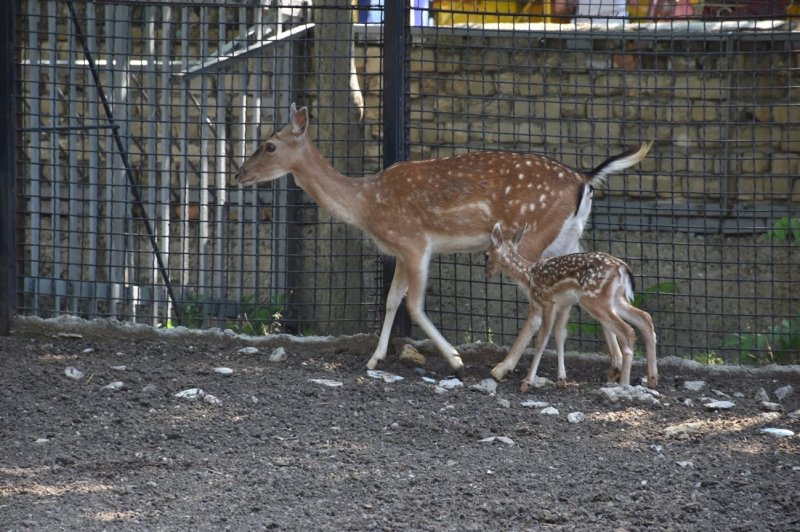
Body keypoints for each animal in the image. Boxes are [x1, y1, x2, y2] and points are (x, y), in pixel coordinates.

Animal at [234, 104, 652, 378]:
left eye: (269, 145)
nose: (238, 174)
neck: (367, 203)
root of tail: (585, 178)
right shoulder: (400, 251)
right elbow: (391, 301)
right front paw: (374, 358)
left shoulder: (415, 243)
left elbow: (414, 306)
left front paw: (454, 358)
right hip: (567, 238)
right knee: (583, 292)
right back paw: (614, 364)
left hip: (531, 235)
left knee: (538, 305)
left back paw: (502, 367)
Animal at [484, 223, 660, 390]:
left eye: (486, 255)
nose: (486, 274)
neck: (528, 276)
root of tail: (623, 268)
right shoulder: (563, 304)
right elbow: (560, 335)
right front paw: (561, 380)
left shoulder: (547, 301)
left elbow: (541, 339)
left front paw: (527, 382)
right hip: (615, 299)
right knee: (645, 318)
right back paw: (652, 379)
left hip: (594, 300)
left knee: (628, 331)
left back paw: (624, 382)